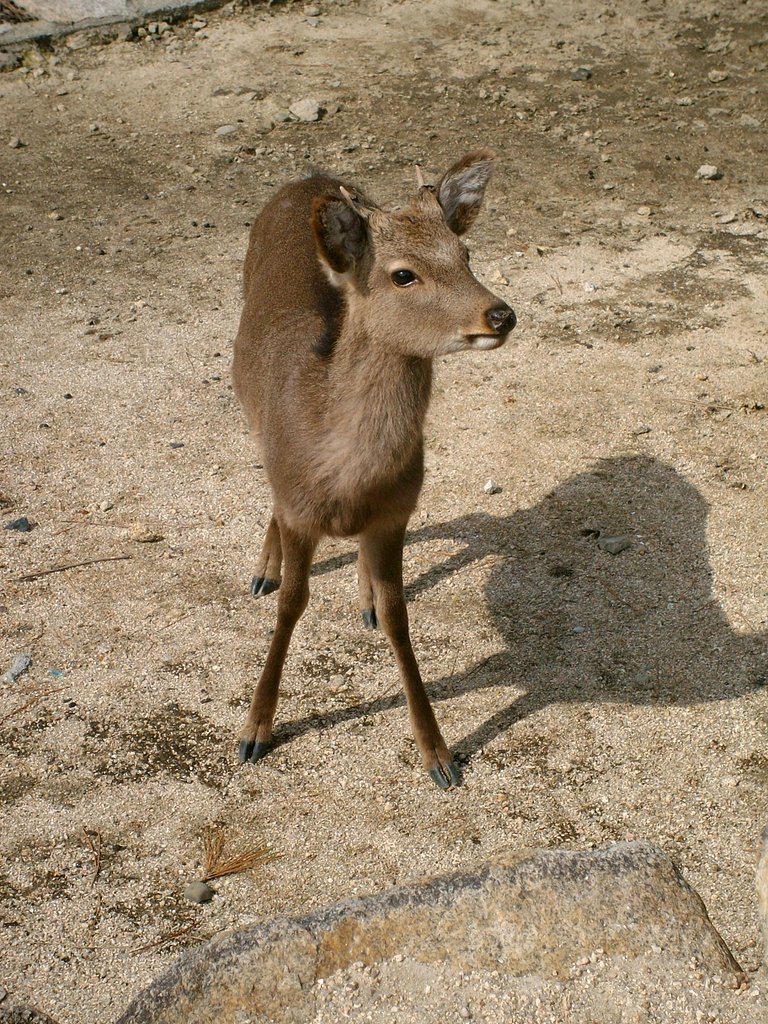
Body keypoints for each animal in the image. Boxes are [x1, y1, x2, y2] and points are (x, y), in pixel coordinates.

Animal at [232, 150, 516, 789]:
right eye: (403, 274)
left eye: (465, 254)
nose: (501, 314)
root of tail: (307, 180)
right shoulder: (299, 509)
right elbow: (291, 604)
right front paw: (254, 731)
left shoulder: (396, 515)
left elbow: (397, 616)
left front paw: (439, 756)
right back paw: (262, 568)